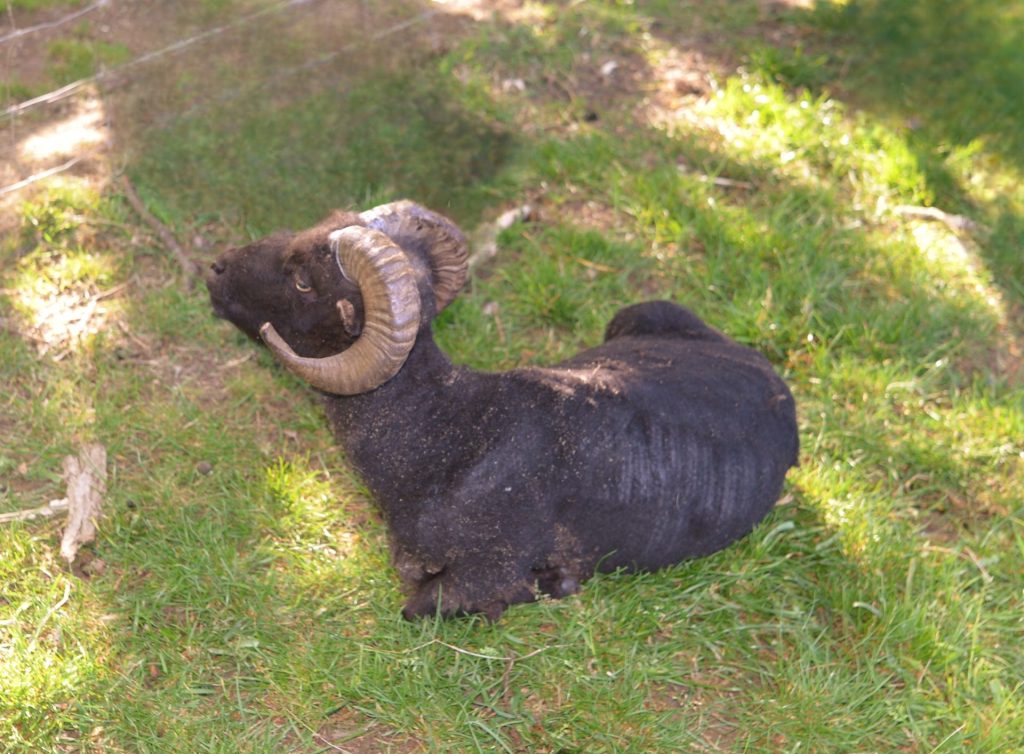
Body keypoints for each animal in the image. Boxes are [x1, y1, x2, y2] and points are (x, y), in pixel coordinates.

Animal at [207, 200, 799, 619]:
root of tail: (766, 373)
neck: (448, 431)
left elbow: (417, 605)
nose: (214, 269)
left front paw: (557, 581)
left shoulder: (485, 577)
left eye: (304, 280)